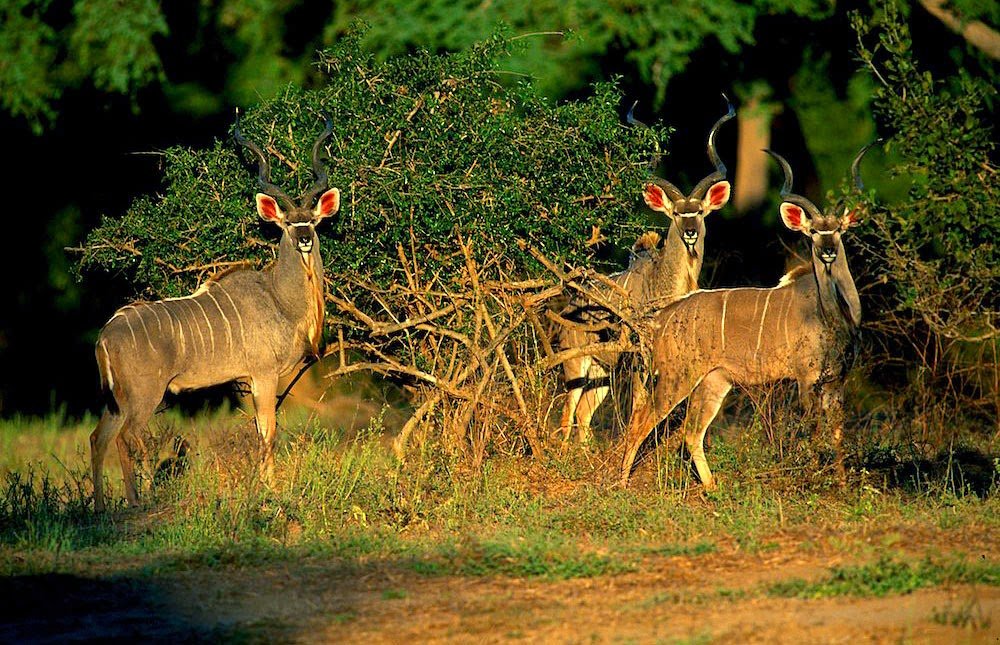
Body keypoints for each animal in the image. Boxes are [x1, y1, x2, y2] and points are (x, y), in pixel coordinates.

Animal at [91, 113, 340, 510]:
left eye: (313, 221)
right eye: (287, 223)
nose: (304, 238)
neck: (279, 298)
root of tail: (104, 335)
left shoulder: (252, 380)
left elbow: (261, 431)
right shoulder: (264, 375)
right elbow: (268, 433)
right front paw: (271, 491)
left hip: (118, 400)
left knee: (98, 437)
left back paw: (101, 507)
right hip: (145, 396)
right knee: (125, 437)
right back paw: (136, 502)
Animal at [556, 99, 736, 442]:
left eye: (699, 212)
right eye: (676, 213)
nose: (690, 232)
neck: (662, 285)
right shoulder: (641, 360)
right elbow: (639, 406)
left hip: (601, 374)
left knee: (584, 415)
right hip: (576, 365)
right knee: (566, 415)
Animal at [616, 141, 876, 488]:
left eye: (837, 230)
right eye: (812, 233)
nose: (828, 252)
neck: (831, 316)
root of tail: (662, 319)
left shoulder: (836, 382)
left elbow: (836, 434)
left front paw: (843, 486)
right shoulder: (806, 380)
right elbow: (812, 431)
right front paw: (812, 482)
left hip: (714, 381)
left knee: (691, 432)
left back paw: (712, 487)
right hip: (677, 377)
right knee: (641, 421)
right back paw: (620, 483)